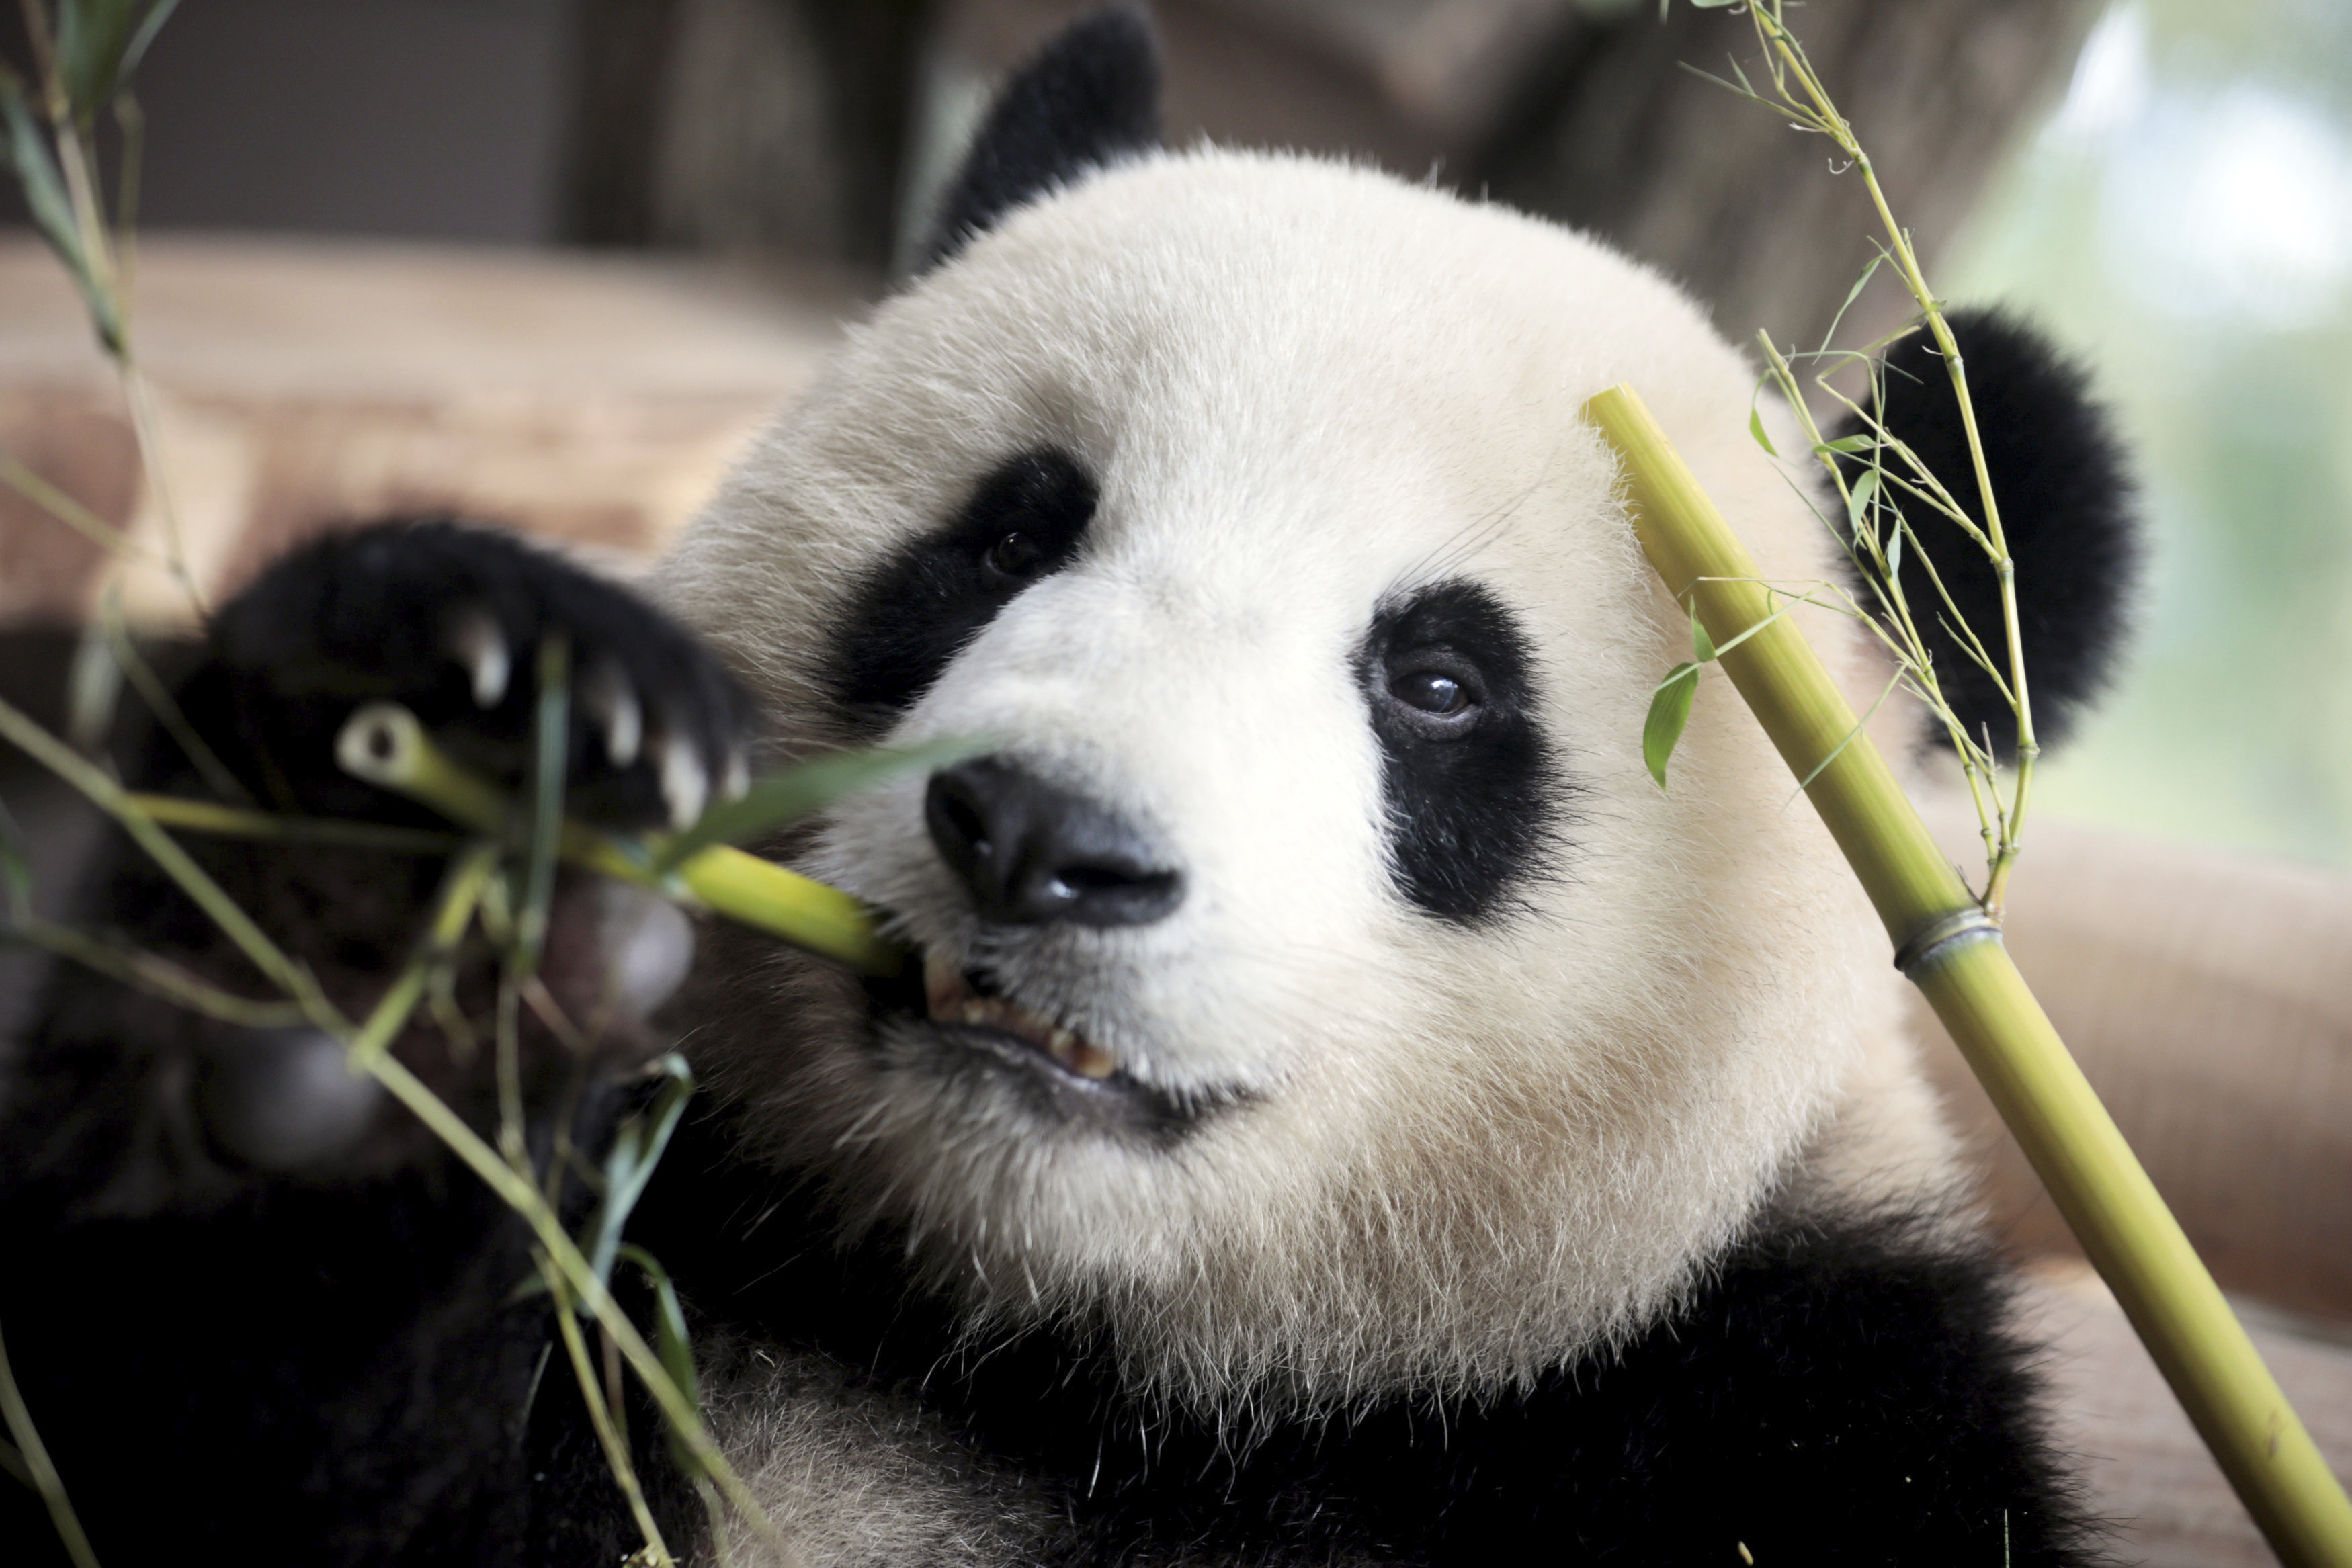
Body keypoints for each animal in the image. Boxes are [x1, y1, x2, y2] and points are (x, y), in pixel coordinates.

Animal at [0, 6, 2136, 1561]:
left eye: (1440, 684)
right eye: (1013, 533)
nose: (1040, 839)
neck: (1052, 1362)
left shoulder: (1761, 1416)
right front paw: (380, 866)